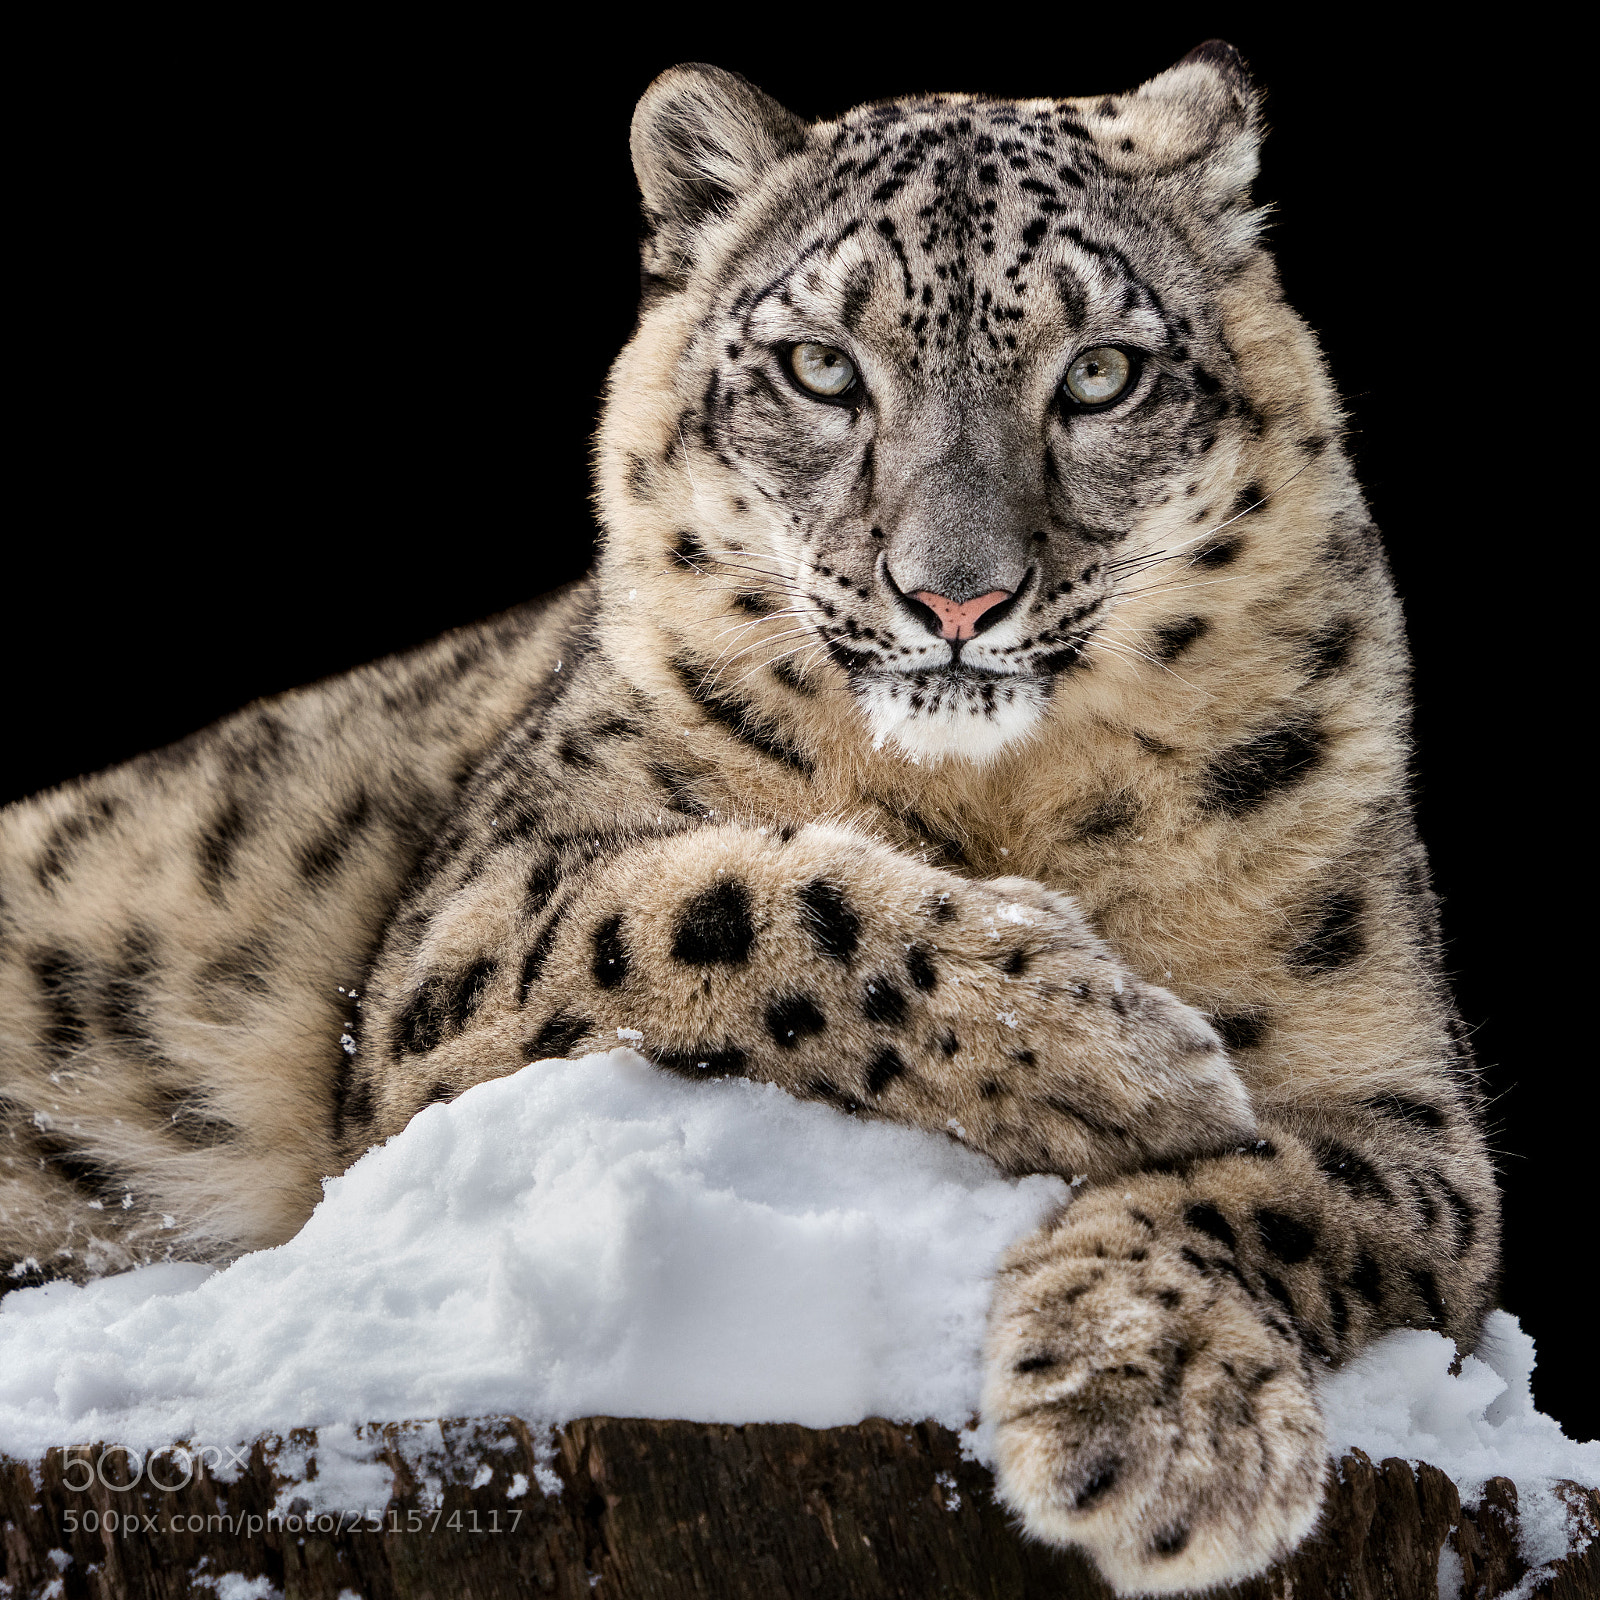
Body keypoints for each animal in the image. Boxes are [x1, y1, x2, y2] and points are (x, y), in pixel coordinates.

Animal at [0, 43, 1499, 1594]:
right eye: (822, 366)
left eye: (1101, 373)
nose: (955, 594)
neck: (995, 804)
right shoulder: (457, 946)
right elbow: (705, 910)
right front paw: (1118, 1048)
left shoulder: (1403, 1093)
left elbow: (1277, 1189)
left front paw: (1159, 1423)